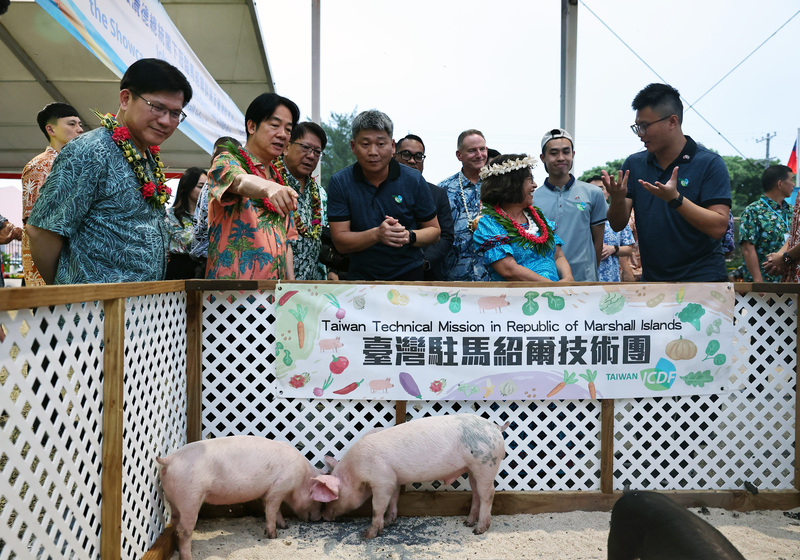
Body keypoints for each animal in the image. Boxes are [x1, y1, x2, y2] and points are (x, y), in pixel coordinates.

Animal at [156, 438, 322, 560]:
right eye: (319, 501)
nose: (319, 518)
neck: (302, 477)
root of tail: (169, 459)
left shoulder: (269, 493)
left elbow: (276, 511)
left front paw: (285, 527)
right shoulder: (278, 488)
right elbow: (272, 511)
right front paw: (273, 536)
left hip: (173, 500)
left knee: (175, 523)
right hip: (190, 498)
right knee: (183, 530)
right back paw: (188, 557)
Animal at [310, 416, 506, 540]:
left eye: (332, 498)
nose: (324, 517)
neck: (356, 471)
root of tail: (496, 427)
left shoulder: (383, 480)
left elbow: (377, 507)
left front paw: (367, 534)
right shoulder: (394, 479)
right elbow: (394, 499)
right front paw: (389, 522)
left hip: (486, 464)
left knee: (488, 493)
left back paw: (478, 530)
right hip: (472, 469)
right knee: (475, 492)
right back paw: (467, 523)